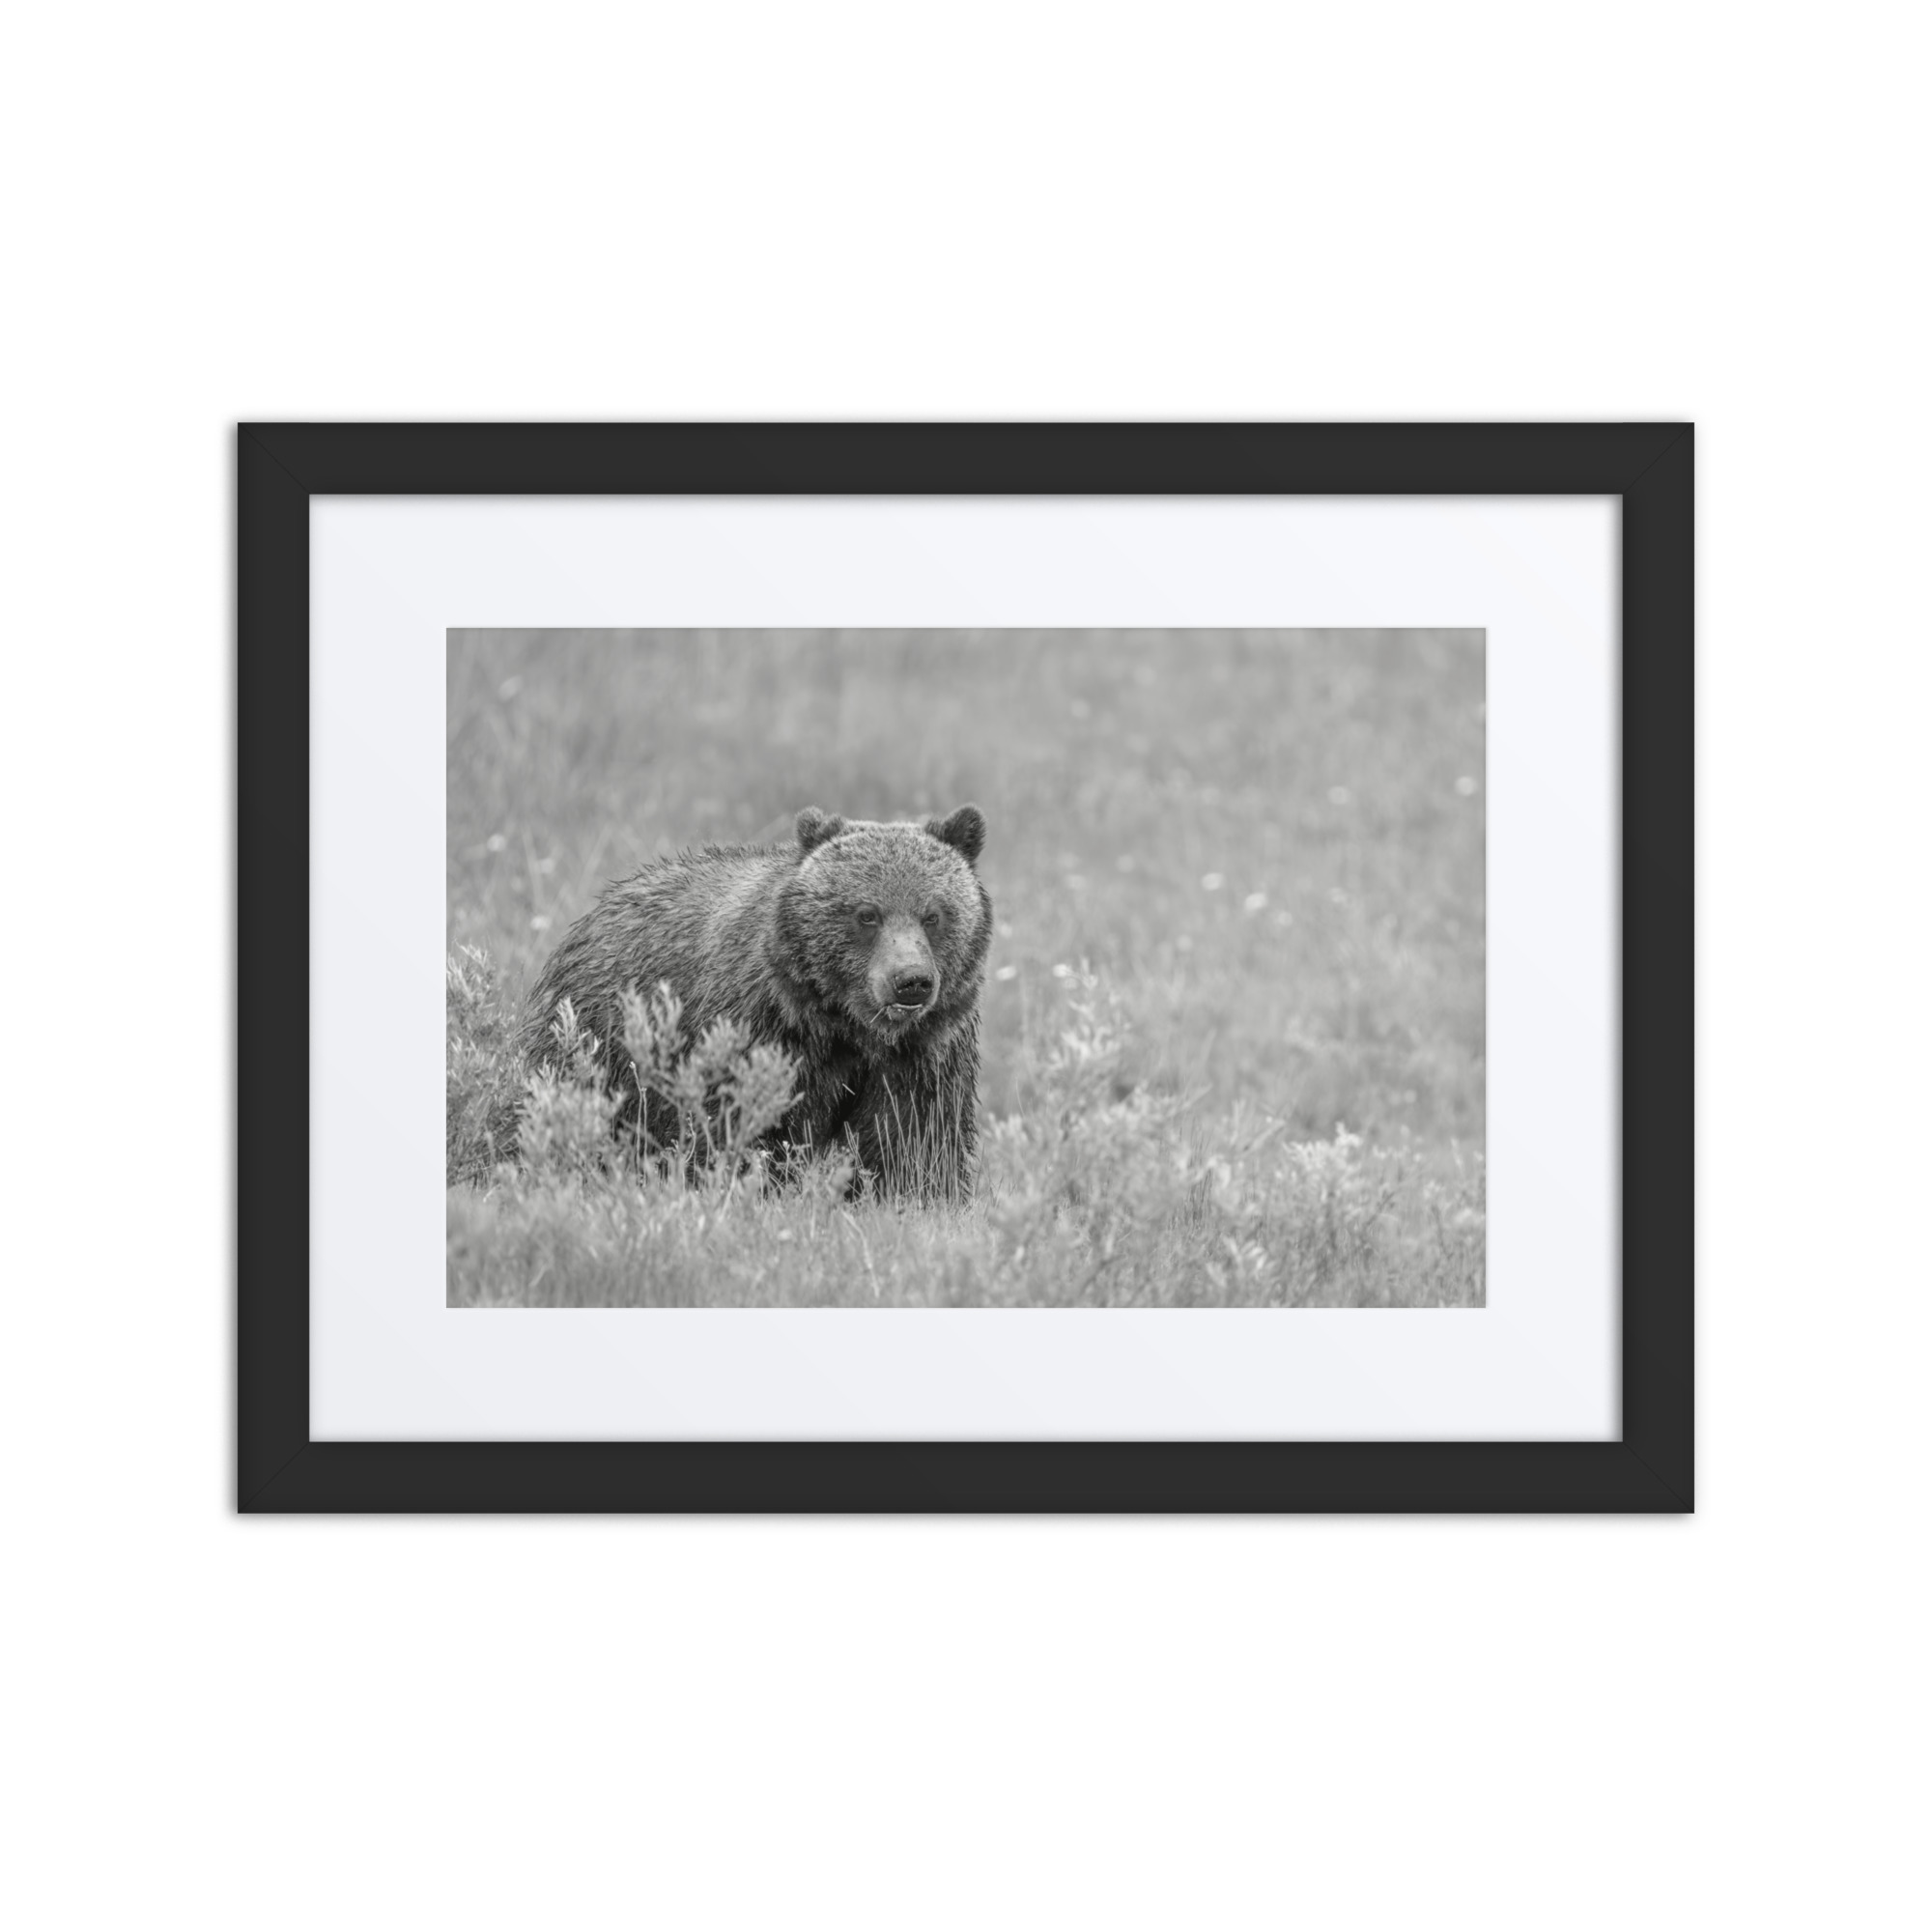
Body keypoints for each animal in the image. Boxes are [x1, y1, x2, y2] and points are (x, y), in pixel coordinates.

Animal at [518, 804, 992, 1200]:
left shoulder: (924, 1052)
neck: (846, 1026)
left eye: (933, 914)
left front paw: (915, 1197)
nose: (910, 981)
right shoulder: (760, 1028)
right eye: (866, 914)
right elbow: (744, 1124)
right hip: (598, 1038)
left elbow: (914, 1139)